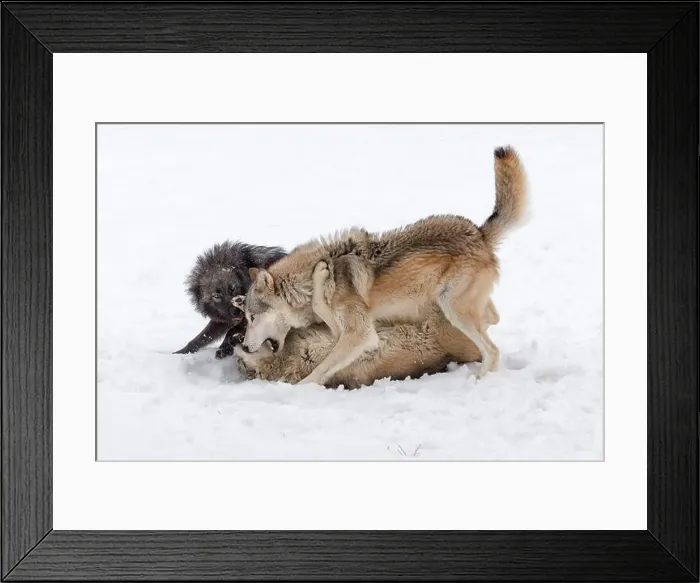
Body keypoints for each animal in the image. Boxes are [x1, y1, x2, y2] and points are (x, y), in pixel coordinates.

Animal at [242, 146, 527, 384]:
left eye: (252, 318)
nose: (243, 346)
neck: (304, 286)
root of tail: (479, 233)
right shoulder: (351, 332)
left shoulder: (361, 335)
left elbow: (318, 371)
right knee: (493, 318)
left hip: (452, 307)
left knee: (492, 350)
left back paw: (479, 378)